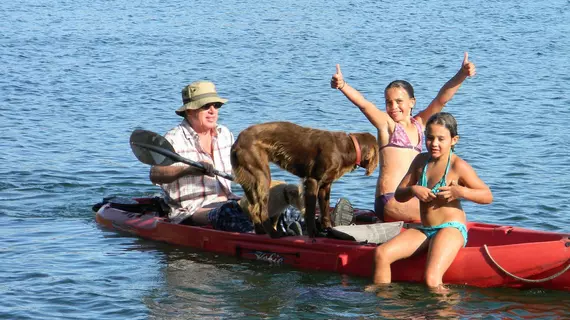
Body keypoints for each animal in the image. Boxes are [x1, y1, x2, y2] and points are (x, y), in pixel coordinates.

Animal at [231, 121, 378, 236]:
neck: (346, 148)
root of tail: (238, 141)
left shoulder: (325, 185)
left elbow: (325, 210)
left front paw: (328, 229)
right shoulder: (313, 180)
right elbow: (311, 211)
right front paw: (314, 233)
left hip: (250, 180)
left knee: (253, 208)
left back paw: (261, 231)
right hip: (262, 175)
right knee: (259, 210)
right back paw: (274, 233)